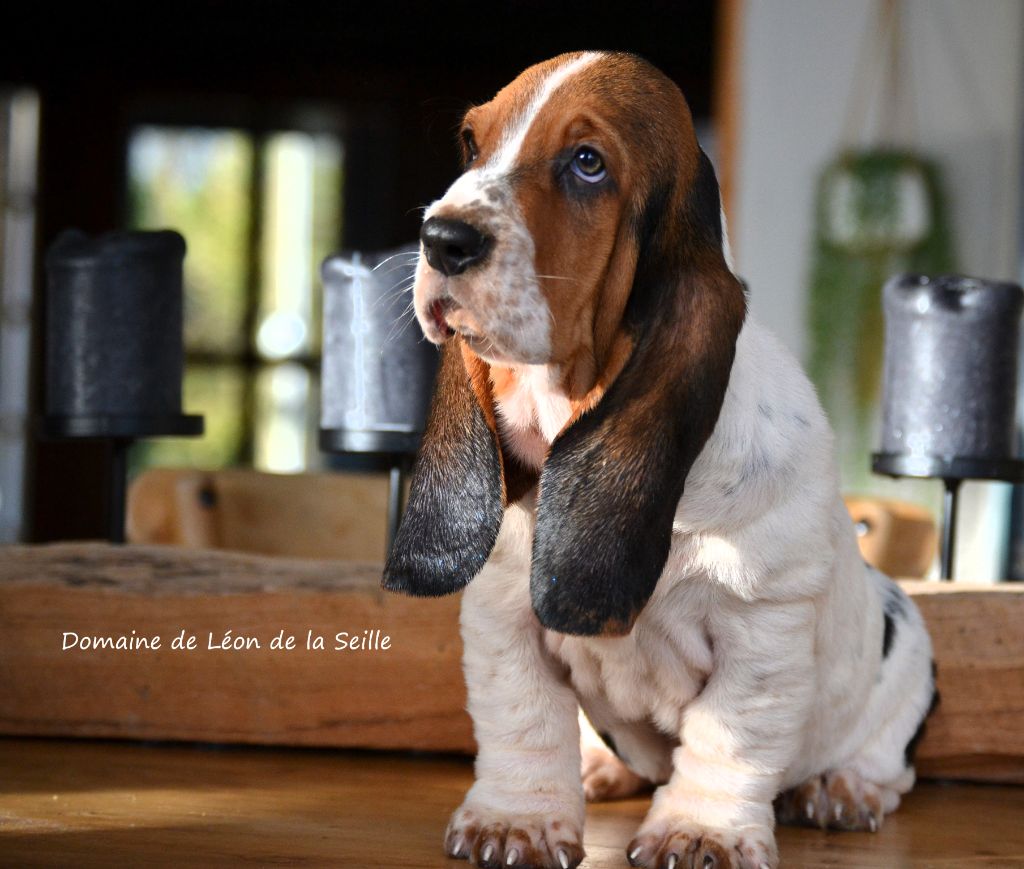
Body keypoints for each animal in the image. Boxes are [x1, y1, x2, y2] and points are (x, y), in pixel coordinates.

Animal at [382, 52, 937, 867]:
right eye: (471, 141)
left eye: (588, 162)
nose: (440, 238)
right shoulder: (501, 616)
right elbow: (524, 720)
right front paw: (516, 820)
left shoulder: (760, 630)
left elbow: (729, 738)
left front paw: (700, 831)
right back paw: (599, 765)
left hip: (909, 648)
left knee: (887, 758)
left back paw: (842, 789)